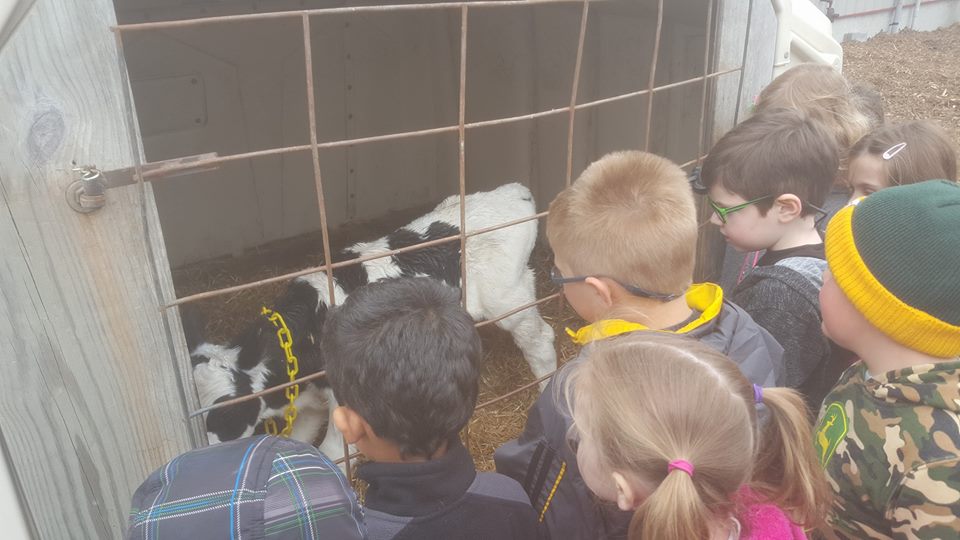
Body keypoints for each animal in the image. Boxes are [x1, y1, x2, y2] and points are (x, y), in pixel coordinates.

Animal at [187, 184, 556, 458]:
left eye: (224, 411)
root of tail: (516, 192)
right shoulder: (310, 402)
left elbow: (333, 451)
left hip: (510, 299)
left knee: (541, 341)